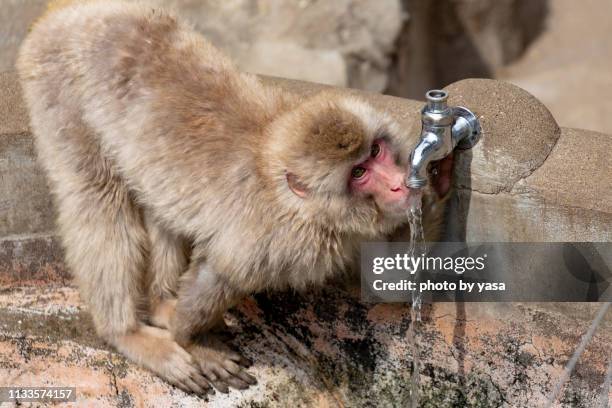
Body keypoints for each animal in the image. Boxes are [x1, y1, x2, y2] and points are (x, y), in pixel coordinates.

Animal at [16, 0, 452, 396]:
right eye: (359, 173)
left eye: (376, 150)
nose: (397, 183)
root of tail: (67, 12)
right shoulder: (274, 240)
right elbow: (221, 272)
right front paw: (192, 340)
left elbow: (389, 286)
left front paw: (438, 178)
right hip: (57, 82)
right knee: (97, 198)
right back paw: (127, 332)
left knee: (159, 201)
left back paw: (161, 303)